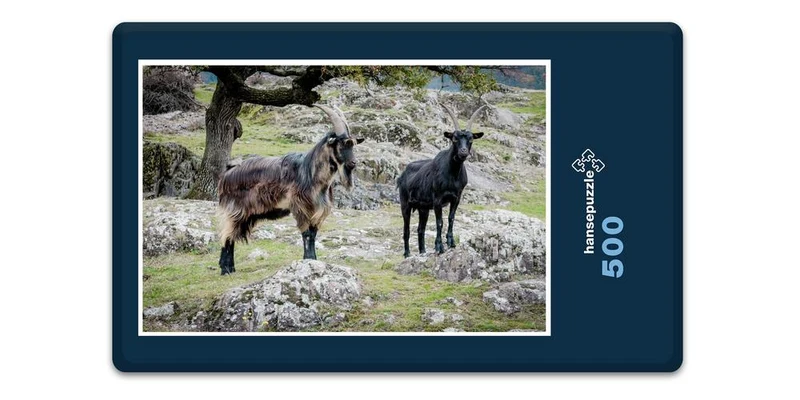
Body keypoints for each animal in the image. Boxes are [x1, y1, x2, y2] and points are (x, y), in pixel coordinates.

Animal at [216, 105, 364, 275]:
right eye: (342, 144)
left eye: (353, 144)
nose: (353, 163)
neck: (310, 172)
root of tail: (227, 173)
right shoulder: (301, 207)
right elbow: (307, 234)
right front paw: (308, 260)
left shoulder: (317, 211)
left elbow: (313, 235)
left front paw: (314, 260)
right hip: (235, 210)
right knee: (227, 235)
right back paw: (226, 269)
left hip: (246, 215)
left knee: (231, 235)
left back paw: (230, 268)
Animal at [396, 104, 486, 257]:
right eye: (454, 138)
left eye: (471, 139)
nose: (463, 152)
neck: (452, 174)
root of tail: (402, 175)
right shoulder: (438, 199)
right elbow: (440, 222)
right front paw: (439, 247)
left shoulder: (456, 198)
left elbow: (451, 218)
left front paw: (451, 243)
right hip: (405, 204)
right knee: (406, 229)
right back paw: (407, 254)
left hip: (423, 208)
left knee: (420, 229)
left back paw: (423, 252)